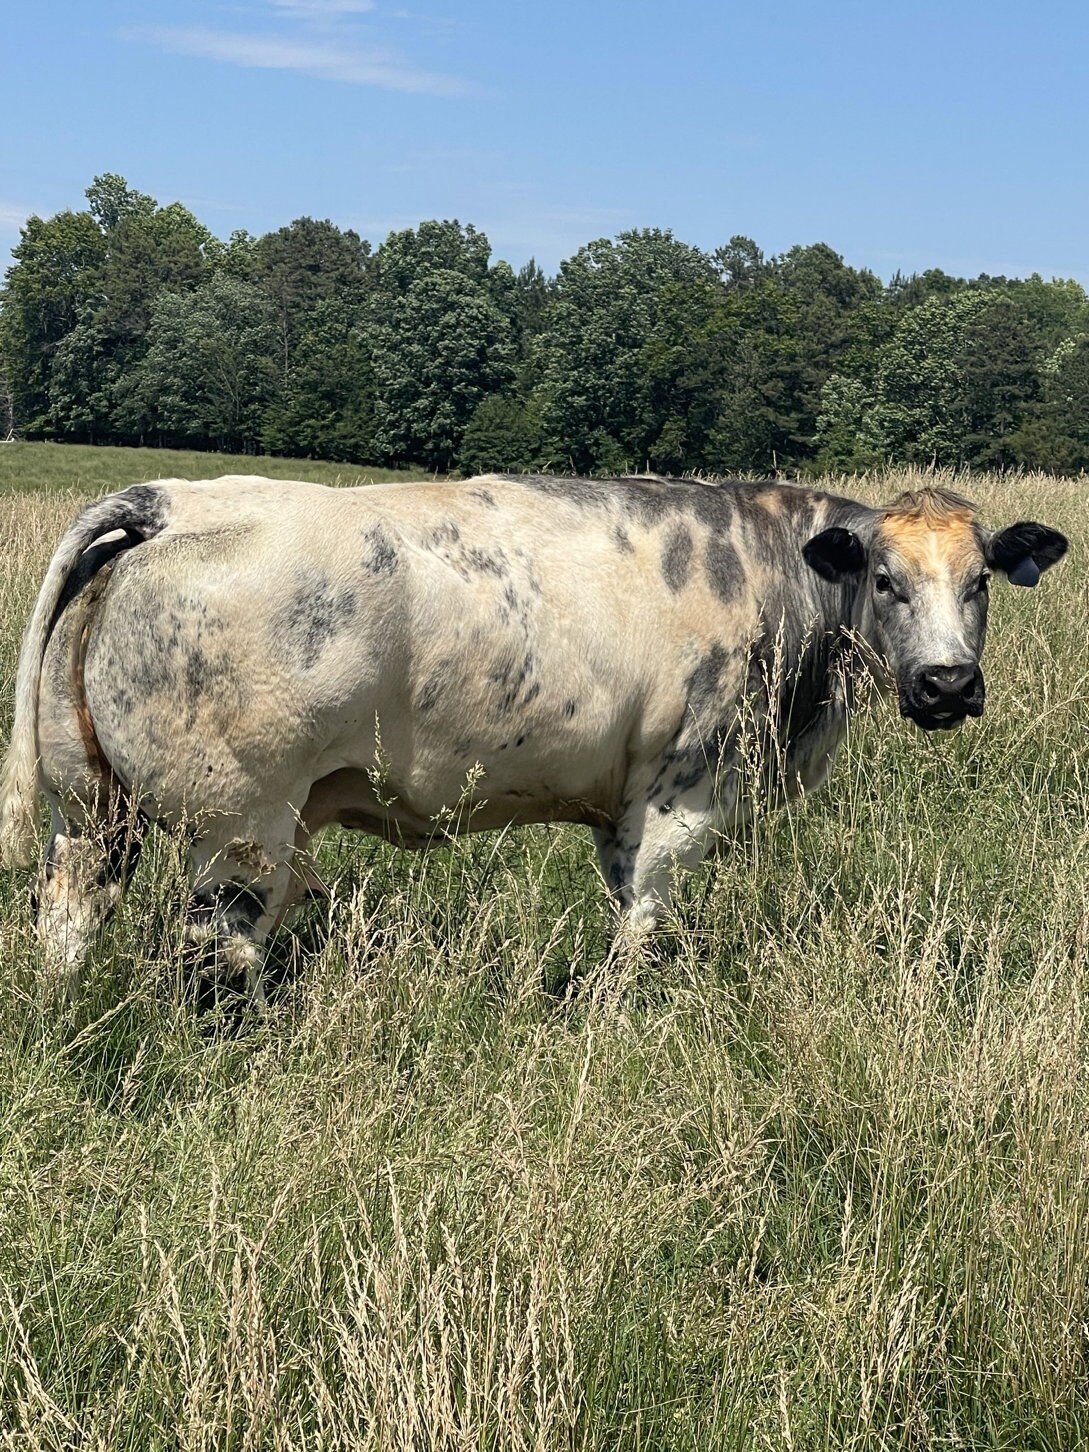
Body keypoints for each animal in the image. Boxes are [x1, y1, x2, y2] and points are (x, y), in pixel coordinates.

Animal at [0, 472, 1068, 1001]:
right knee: (212, 958)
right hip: (241, 826)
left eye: (979, 580)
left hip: (90, 811)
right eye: (884, 580)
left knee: (70, 917)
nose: (946, 683)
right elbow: (643, 929)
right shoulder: (681, 794)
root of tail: (170, 501)